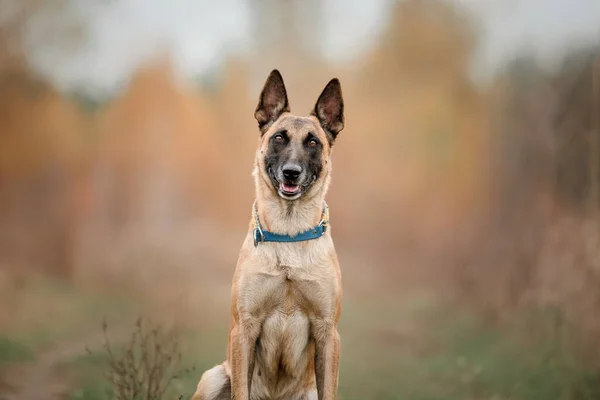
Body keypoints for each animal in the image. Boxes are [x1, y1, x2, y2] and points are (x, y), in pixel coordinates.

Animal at [192, 69, 342, 400]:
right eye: (278, 138)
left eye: (313, 142)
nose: (291, 172)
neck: (289, 233)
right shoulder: (245, 330)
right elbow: (241, 390)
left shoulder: (328, 333)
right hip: (213, 379)